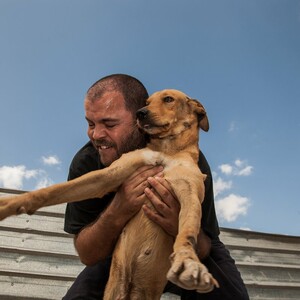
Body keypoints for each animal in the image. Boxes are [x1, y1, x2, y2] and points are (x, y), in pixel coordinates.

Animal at [0, 89, 218, 300]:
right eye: (147, 102)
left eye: (168, 99)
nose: (140, 113)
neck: (167, 150)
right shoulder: (108, 175)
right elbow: (56, 189)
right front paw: (11, 204)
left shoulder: (190, 195)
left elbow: (187, 233)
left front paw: (188, 261)